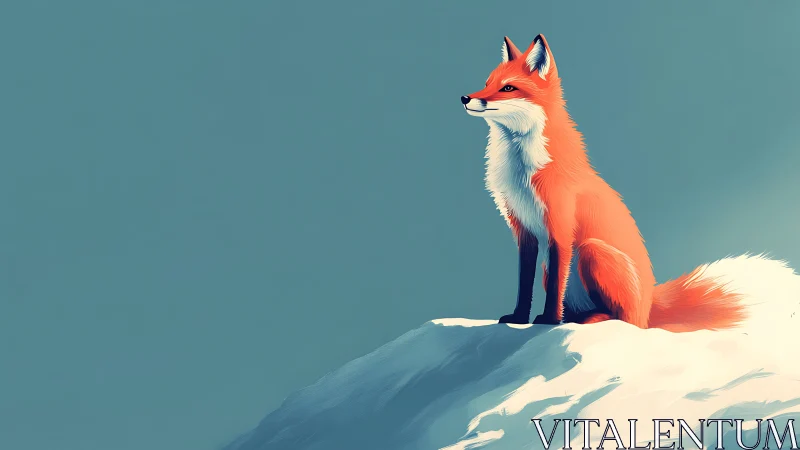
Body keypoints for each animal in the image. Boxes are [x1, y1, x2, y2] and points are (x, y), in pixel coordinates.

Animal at [461, 34, 800, 332]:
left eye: (508, 88)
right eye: (488, 82)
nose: (466, 98)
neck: (521, 171)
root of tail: (649, 307)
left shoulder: (560, 229)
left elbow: (555, 287)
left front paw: (547, 320)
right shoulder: (525, 231)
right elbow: (523, 284)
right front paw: (520, 318)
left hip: (592, 251)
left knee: (623, 320)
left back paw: (586, 320)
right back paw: (576, 317)